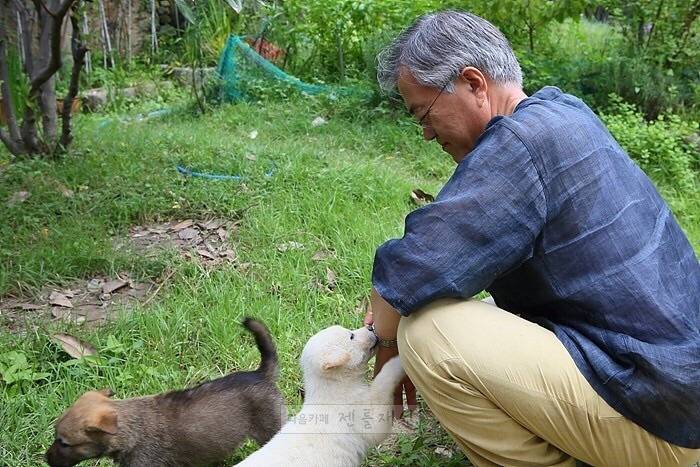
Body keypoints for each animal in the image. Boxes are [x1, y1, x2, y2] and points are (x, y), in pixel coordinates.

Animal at [237, 326, 404, 467]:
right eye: (351, 336)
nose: (370, 327)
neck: (336, 386)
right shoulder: (363, 417)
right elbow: (382, 383)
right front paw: (398, 362)